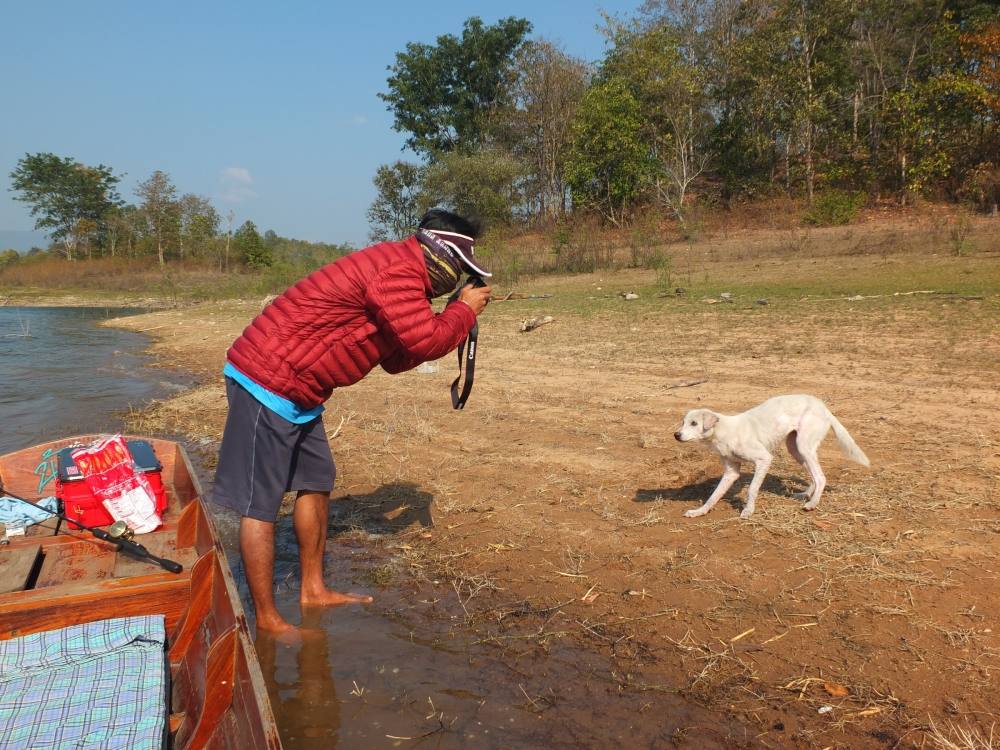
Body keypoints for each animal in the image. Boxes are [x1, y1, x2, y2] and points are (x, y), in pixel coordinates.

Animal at [676, 396, 872, 520]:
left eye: (694, 423)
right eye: (683, 422)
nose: (676, 435)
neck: (723, 431)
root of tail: (824, 408)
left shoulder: (764, 459)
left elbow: (752, 489)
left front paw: (748, 510)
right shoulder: (731, 472)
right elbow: (713, 496)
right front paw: (700, 511)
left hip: (804, 446)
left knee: (821, 477)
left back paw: (813, 502)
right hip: (796, 449)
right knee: (814, 476)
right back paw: (806, 494)